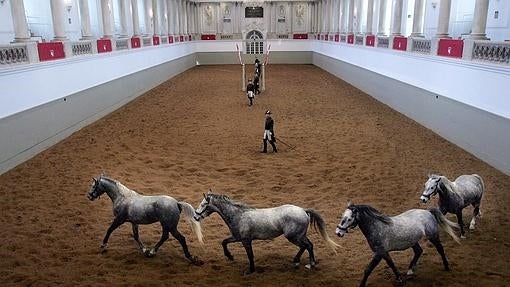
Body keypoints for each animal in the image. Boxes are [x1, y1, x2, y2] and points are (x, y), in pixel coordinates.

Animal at [194, 192, 338, 274]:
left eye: (203, 205)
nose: (195, 216)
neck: (238, 216)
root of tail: (303, 210)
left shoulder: (245, 240)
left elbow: (250, 255)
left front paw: (251, 270)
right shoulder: (237, 237)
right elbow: (224, 242)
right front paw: (230, 257)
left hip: (293, 237)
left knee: (307, 246)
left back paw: (306, 263)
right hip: (299, 236)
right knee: (309, 245)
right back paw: (302, 262)